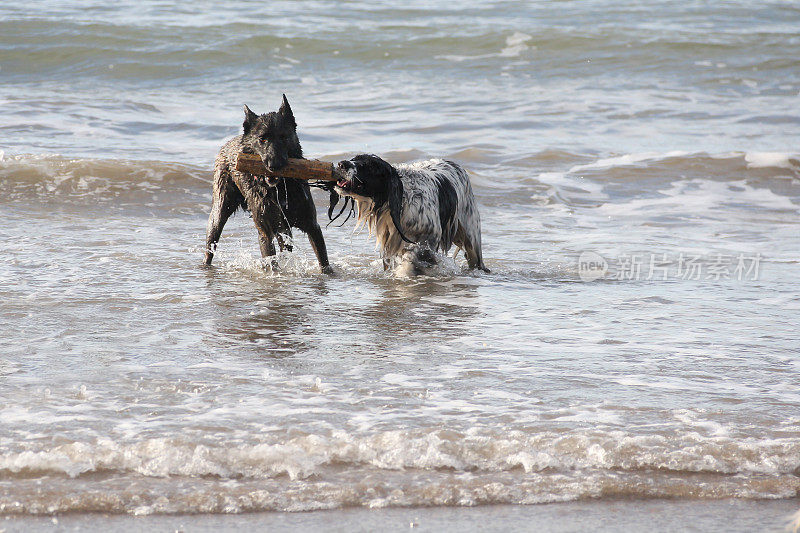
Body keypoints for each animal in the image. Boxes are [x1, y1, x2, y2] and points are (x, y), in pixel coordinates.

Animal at [332, 153, 488, 270]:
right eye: (354, 158)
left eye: (368, 166)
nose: (341, 164)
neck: (404, 200)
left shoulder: (430, 239)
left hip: (472, 239)